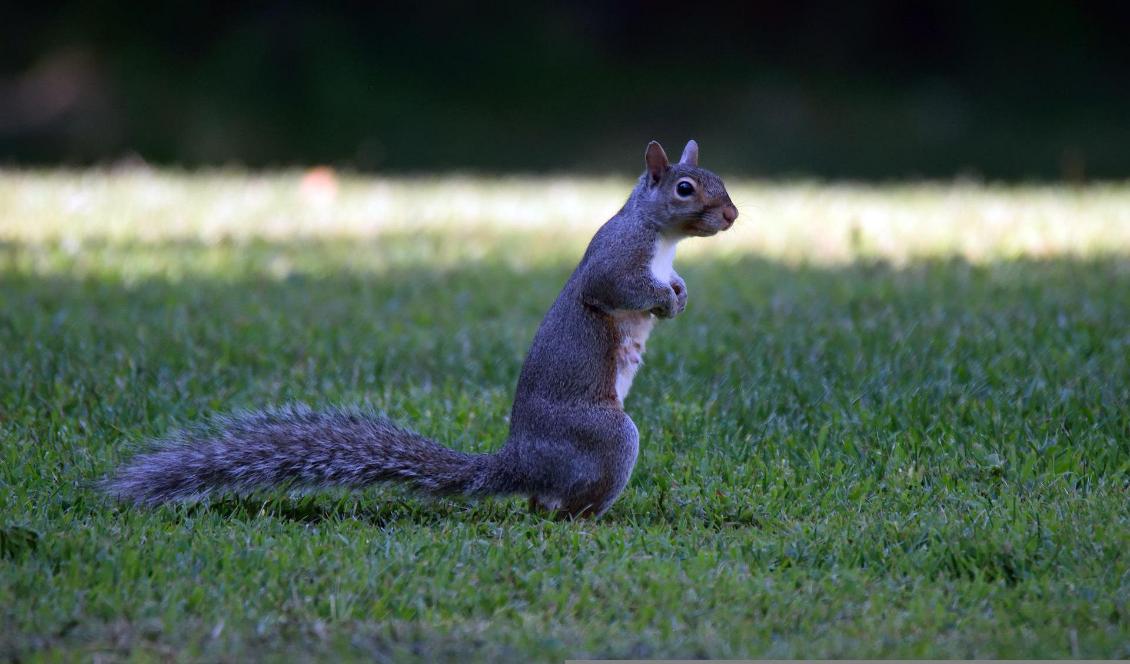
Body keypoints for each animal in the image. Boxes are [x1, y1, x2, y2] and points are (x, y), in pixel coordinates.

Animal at [107, 141, 741, 519]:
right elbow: (615, 289)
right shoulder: (614, 262)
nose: (733, 215)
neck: (661, 238)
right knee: (561, 507)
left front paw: (680, 295)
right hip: (605, 436)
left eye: (719, 179)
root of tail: (519, 462)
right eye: (685, 188)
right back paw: (593, 522)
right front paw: (664, 300)